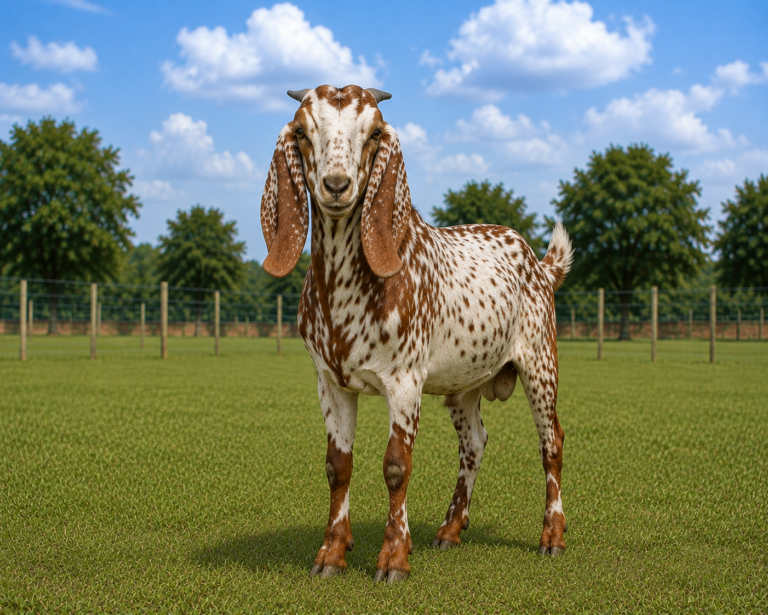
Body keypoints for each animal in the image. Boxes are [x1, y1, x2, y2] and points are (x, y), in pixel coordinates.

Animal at [260, 85, 573, 584]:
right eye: (304, 132)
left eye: (373, 133)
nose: (336, 185)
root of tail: (540, 266)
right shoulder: (330, 383)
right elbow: (337, 467)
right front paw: (332, 553)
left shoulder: (404, 381)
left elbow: (396, 466)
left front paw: (393, 558)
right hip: (464, 384)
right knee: (474, 443)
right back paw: (450, 529)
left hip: (540, 361)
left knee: (551, 442)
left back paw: (553, 536)